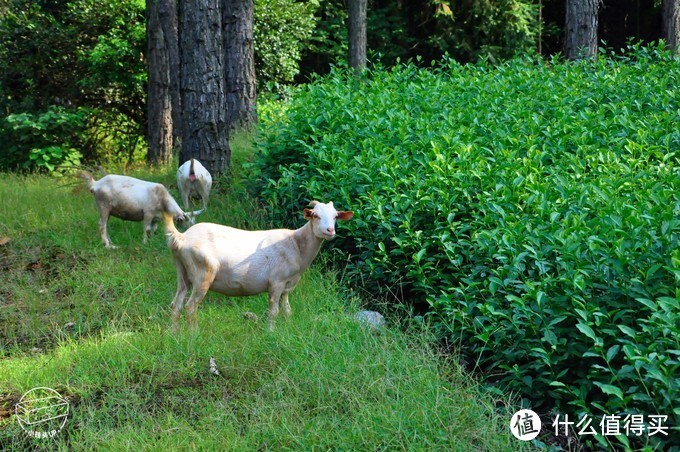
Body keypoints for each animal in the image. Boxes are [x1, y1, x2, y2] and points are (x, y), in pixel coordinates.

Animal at [164, 200, 354, 330]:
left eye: (335, 216)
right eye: (315, 215)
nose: (330, 231)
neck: (296, 244)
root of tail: (181, 238)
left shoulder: (288, 285)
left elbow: (287, 310)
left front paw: (288, 328)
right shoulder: (276, 282)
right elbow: (273, 311)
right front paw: (271, 332)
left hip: (183, 272)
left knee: (176, 304)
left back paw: (174, 334)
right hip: (203, 274)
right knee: (190, 307)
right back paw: (193, 334)